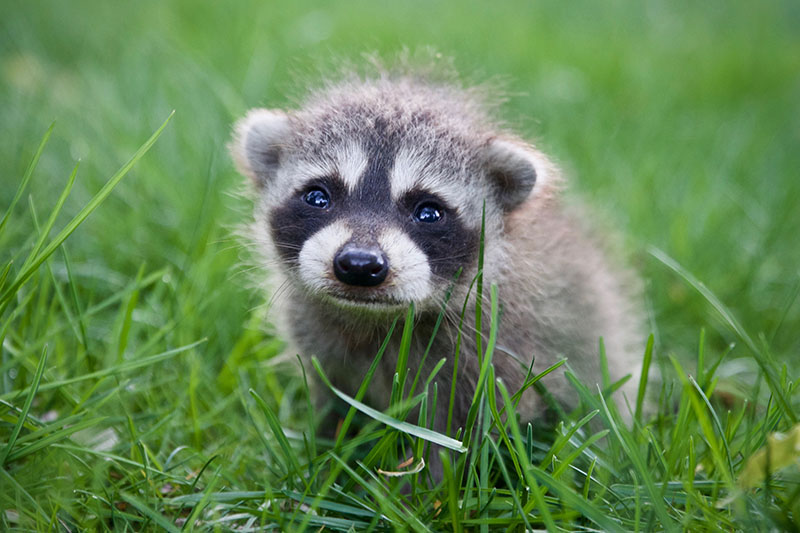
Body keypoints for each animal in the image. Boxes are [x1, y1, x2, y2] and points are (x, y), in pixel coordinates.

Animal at [231, 68, 644, 444]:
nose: (360, 265)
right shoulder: (319, 340)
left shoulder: (498, 348)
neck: (374, 319)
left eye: (428, 212)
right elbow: (334, 402)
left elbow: (455, 435)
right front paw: (326, 447)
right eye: (318, 197)